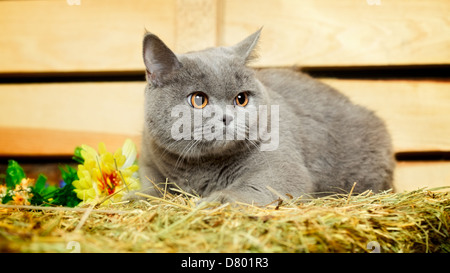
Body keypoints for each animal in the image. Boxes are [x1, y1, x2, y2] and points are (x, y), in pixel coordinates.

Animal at [135, 29, 396, 204]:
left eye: (241, 99)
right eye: (198, 100)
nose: (227, 117)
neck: (200, 168)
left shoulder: (282, 170)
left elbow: (244, 191)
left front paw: (213, 202)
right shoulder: (149, 164)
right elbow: (151, 189)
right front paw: (133, 198)